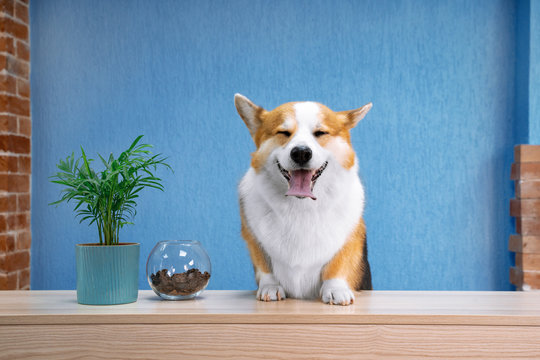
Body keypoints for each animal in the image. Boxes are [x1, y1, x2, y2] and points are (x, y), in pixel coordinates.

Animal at [234, 94, 374, 306]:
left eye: (320, 133)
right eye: (284, 133)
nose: (301, 152)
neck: (301, 205)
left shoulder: (351, 235)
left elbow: (338, 263)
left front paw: (336, 289)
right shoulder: (253, 238)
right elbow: (265, 266)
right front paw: (270, 287)